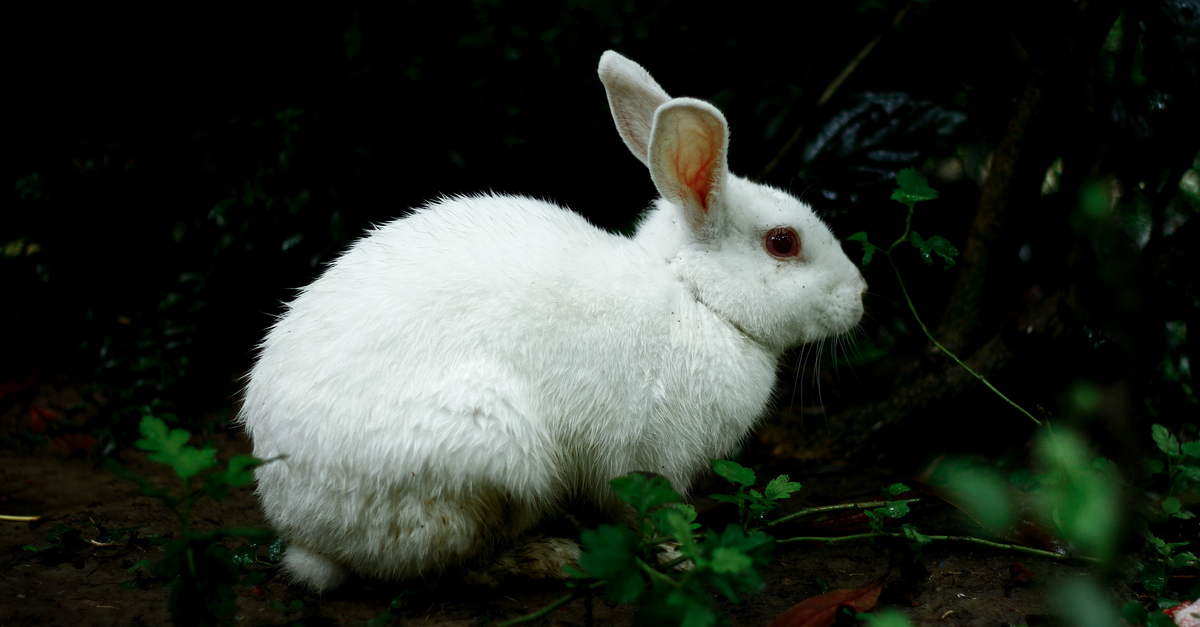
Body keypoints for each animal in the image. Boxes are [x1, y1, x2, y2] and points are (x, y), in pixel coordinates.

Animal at [239, 50, 868, 593]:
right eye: (783, 243)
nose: (862, 295)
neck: (694, 296)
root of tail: (306, 529)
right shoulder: (646, 460)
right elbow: (647, 512)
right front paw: (683, 557)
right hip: (491, 461)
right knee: (448, 567)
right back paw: (552, 558)